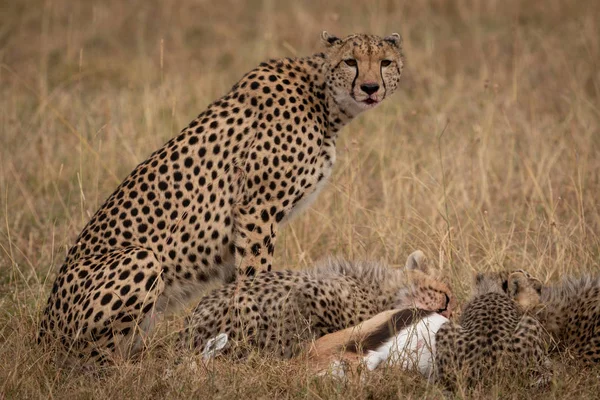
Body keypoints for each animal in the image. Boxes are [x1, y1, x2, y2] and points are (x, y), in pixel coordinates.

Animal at [38, 31, 408, 362]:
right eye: (351, 61)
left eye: (385, 62)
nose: (370, 87)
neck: (324, 99)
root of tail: (43, 332)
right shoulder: (257, 208)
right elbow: (256, 274)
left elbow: (238, 280)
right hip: (141, 259)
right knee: (94, 360)